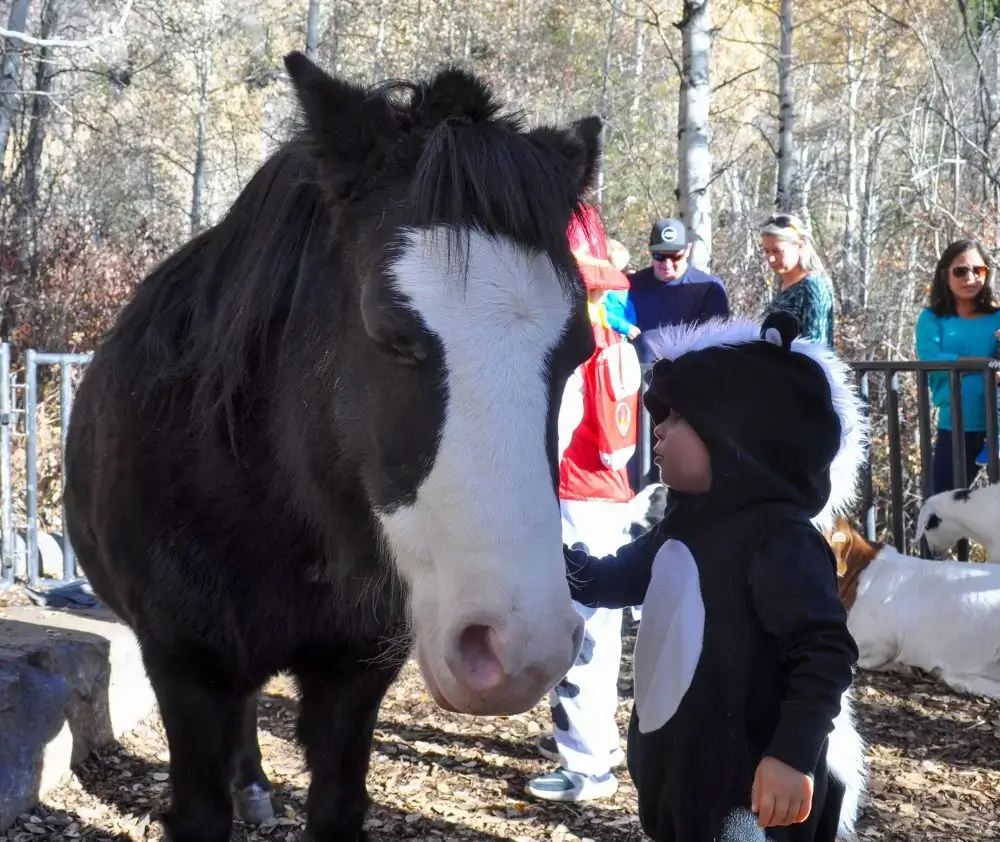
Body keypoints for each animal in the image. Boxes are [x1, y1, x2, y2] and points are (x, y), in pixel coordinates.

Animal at [64, 51, 602, 842]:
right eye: (391, 334)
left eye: (576, 352)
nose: (518, 650)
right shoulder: (185, 669)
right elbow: (202, 804)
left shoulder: (353, 680)